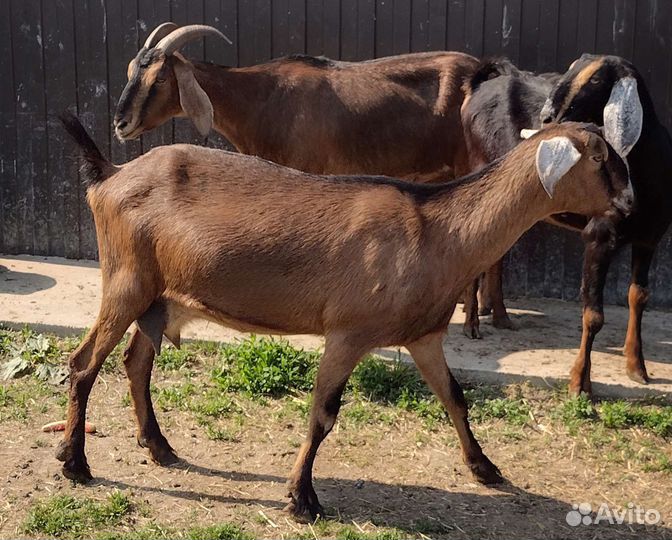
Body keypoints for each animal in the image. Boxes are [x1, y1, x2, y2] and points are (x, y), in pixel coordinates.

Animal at [57, 111, 632, 520]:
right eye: (600, 156)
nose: (629, 206)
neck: (438, 231)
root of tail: (109, 176)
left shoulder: (424, 335)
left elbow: (454, 397)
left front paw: (485, 468)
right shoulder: (349, 332)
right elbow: (324, 413)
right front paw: (301, 499)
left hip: (160, 297)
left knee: (135, 362)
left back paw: (158, 446)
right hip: (126, 280)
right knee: (84, 363)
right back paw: (75, 462)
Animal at [538, 53, 672, 395]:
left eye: (597, 80)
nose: (547, 117)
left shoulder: (649, 239)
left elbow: (639, 296)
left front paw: (637, 366)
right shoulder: (599, 238)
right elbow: (593, 315)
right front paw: (579, 382)